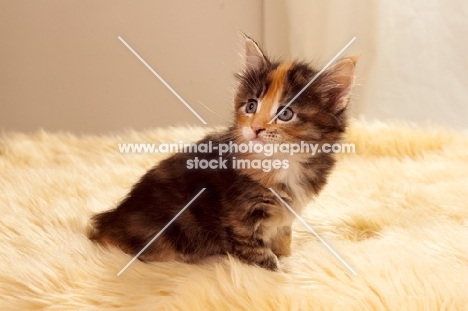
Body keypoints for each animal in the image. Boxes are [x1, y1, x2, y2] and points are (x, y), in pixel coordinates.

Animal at [88, 35, 354, 272]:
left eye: (286, 113)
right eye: (251, 106)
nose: (255, 128)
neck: (284, 161)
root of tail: (110, 220)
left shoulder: (286, 213)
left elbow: (283, 236)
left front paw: (287, 256)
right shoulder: (240, 215)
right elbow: (256, 250)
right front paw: (279, 268)